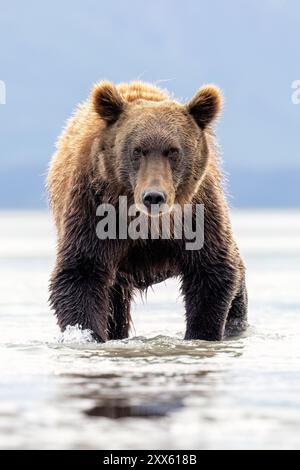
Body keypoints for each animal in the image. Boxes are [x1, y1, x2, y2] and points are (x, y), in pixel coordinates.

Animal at [47, 81, 248, 342]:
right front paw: (87, 335)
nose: (154, 196)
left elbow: (212, 271)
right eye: (137, 150)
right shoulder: (93, 210)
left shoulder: (198, 215)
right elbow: (81, 273)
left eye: (173, 151)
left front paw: (201, 333)